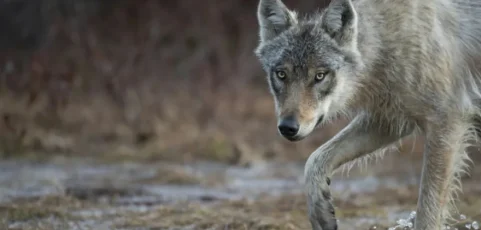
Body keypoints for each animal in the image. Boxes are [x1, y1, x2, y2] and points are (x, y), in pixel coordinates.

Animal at [253, 0, 480, 228]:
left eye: (320, 76)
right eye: (281, 74)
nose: (288, 127)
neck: (387, 41)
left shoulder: (447, 123)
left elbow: (427, 213)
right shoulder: (390, 120)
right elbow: (314, 160)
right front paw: (321, 214)